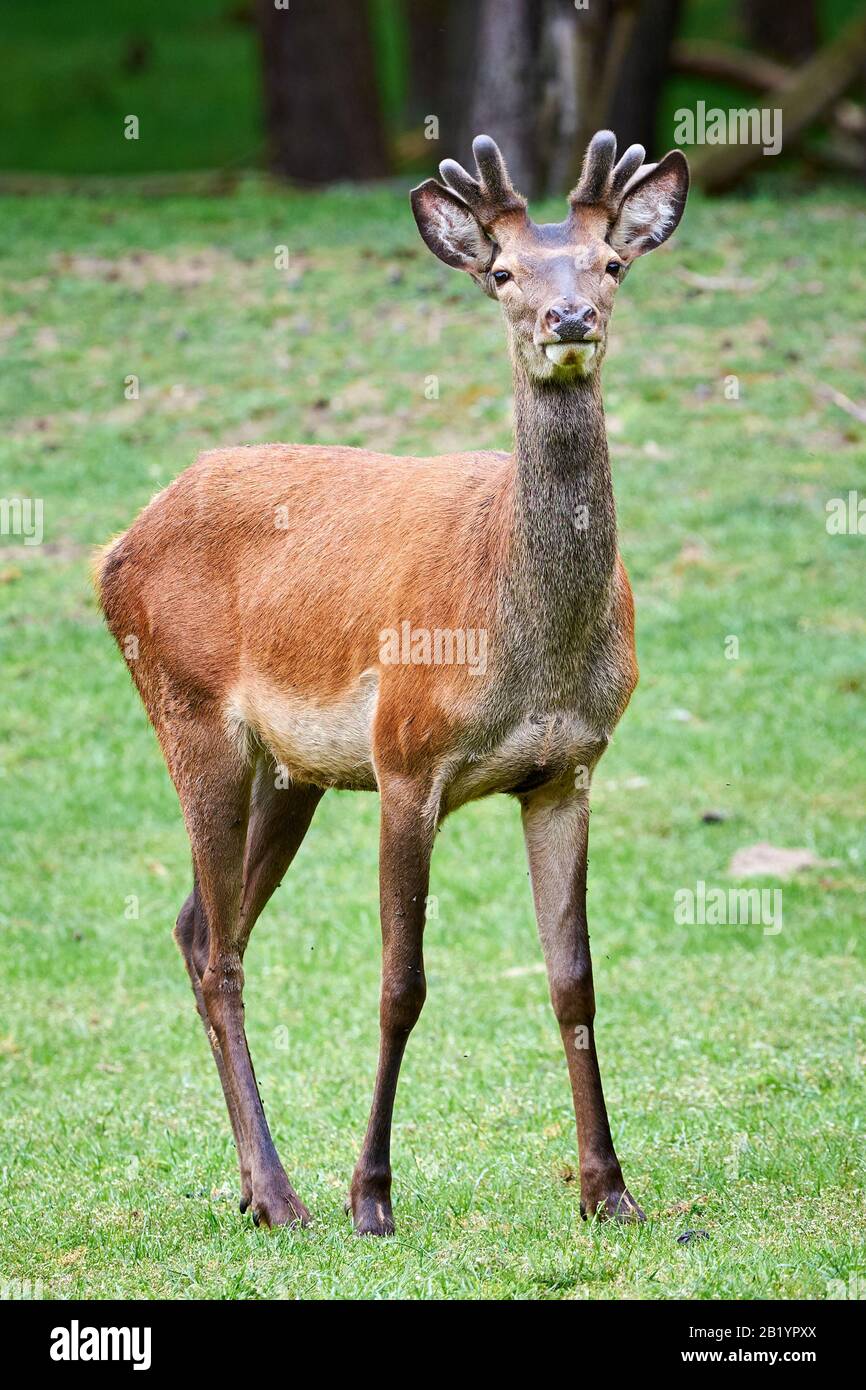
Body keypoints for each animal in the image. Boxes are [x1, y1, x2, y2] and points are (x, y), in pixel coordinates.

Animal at [95, 130, 689, 1236]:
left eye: (609, 265)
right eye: (503, 274)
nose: (569, 320)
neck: (525, 647)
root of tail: (117, 545)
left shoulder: (569, 767)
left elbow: (573, 977)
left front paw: (609, 1189)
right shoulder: (407, 759)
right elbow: (400, 983)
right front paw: (371, 1194)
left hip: (292, 772)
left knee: (199, 925)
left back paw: (251, 1185)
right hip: (189, 711)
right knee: (222, 949)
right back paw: (286, 1195)